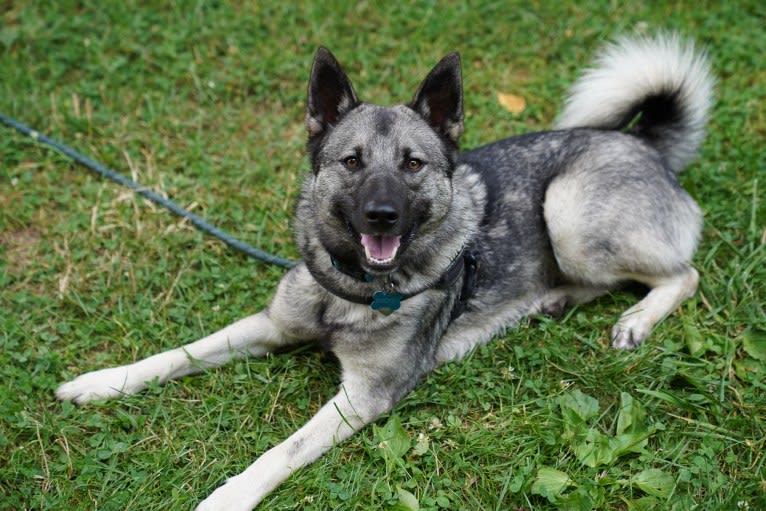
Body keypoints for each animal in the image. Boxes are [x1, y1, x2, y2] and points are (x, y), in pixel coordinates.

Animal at [57, 34, 716, 510]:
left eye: (413, 164)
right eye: (351, 162)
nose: (382, 213)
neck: (354, 290)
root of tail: (643, 142)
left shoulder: (364, 396)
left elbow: (281, 451)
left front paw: (229, 496)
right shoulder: (270, 325)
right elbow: (178, 354)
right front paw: (104, 381)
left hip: (569, 213)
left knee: (683, 275)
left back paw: (635, 319)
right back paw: (555, 300)